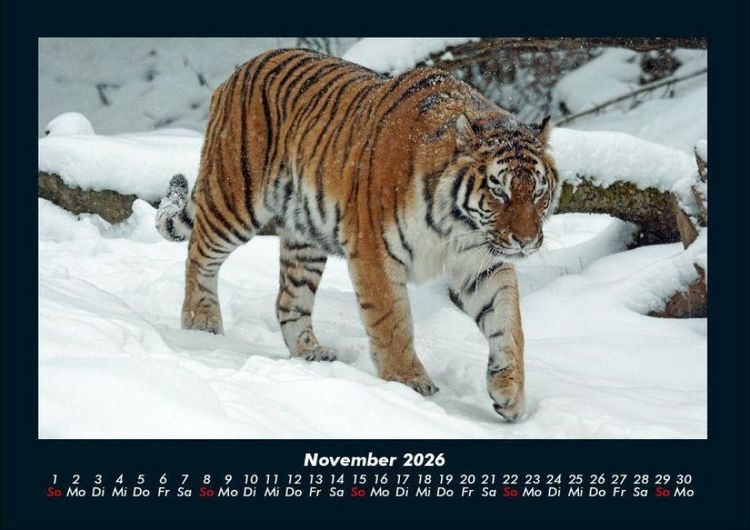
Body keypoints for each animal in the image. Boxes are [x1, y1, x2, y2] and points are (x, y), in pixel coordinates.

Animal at [156, 48, 559, 421]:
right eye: (499, 191)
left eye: (538, 191)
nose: (526, 241)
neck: (456, 226)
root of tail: (239, 70)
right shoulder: (374, 252)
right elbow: (392, 322)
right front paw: (408, 383)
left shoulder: (482, 262)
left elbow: (508, 322)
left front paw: (510, 393)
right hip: (236, 198)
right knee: (199, 253)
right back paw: (200, 324)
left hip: (304, 237)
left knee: (289, 299)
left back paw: (310, 353)